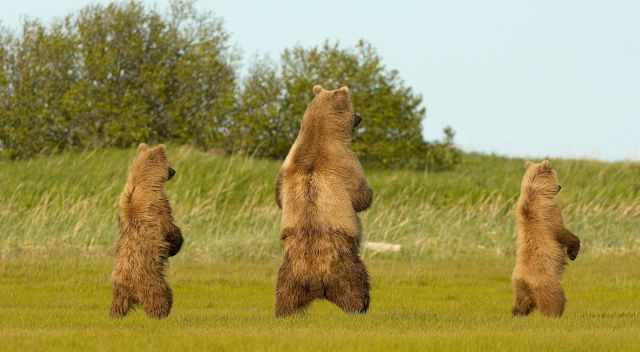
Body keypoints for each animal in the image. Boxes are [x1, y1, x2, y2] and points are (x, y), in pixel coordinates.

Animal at [110, 143, 184, 320]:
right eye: (168, 163)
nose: (174, 171)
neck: (142, 181)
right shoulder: (158, 206)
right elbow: (170, 227)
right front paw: (176, 244)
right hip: (152, 280)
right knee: (161, 295)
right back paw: (161, 313)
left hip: (119, 287)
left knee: (118, 302)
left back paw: (115, 315)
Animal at [272, 84, 372, 316]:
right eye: (353, 108)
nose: (360, 117)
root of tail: (316, 283)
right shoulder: (345, 161)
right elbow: (360, 195)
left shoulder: (288, 163)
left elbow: (279, 195)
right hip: (346, 264)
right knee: (356, 286)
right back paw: (360, 308)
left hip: (289, 273)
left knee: (285, 295)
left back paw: (284, 313)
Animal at [510, 161, 580, 318]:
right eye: (555, 175)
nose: (559, 186)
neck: (535, 191)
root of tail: (527, 282)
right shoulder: (549, 214)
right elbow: (562, 232)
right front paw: (573, 252)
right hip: (548, 285)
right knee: (555, 299)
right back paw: (555, 315)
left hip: (519, 288)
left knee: (521, 303)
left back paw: (517, 314)